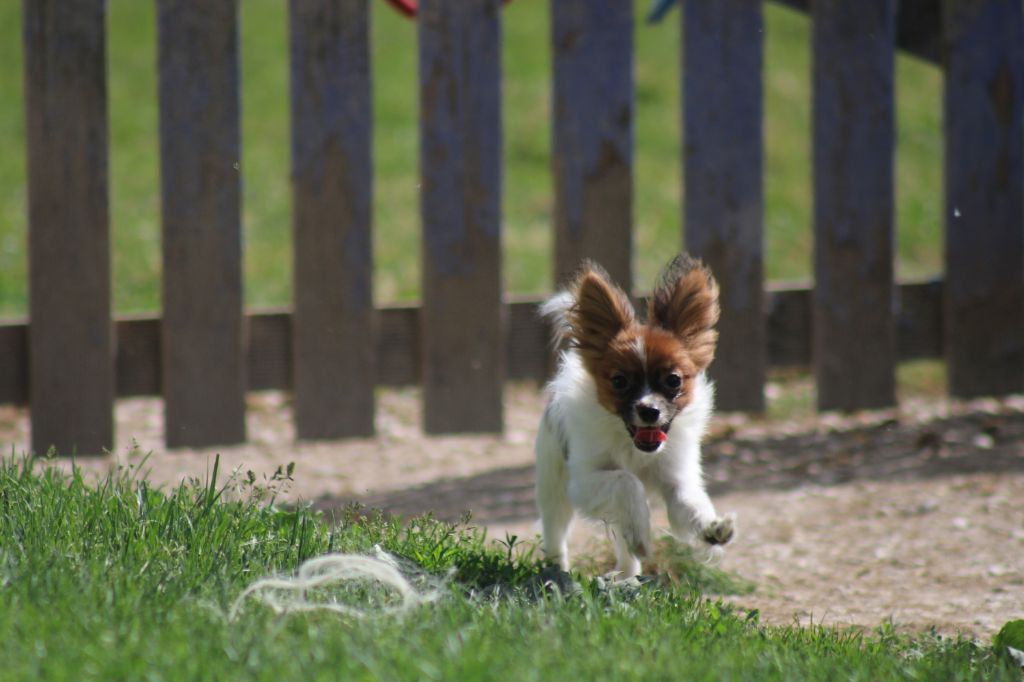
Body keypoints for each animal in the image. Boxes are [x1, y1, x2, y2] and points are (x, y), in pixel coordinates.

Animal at [536, 253, 737, 573]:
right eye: (619, 381)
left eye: (673, 380)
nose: (649, 410)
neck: (634, 447)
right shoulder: (582, 482)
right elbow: (627, 482)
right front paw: (642, 532)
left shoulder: (676, 479)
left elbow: (692, 504)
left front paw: (713, 528)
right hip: (553, 483)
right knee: (556, 532)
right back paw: (558, 570)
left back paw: (626, 573)